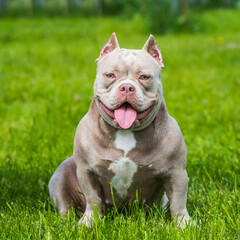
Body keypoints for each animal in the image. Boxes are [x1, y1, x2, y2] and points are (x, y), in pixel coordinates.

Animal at [48, 33, 191, 227]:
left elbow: (178, 201)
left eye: (144, 77)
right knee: (65, 207)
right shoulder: (86, 172)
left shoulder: (176, 172)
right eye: (110, 75)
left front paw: (184, 225)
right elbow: (93, 199)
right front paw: (89, 222)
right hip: (61, 175)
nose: (127, 87)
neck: (126, 132)